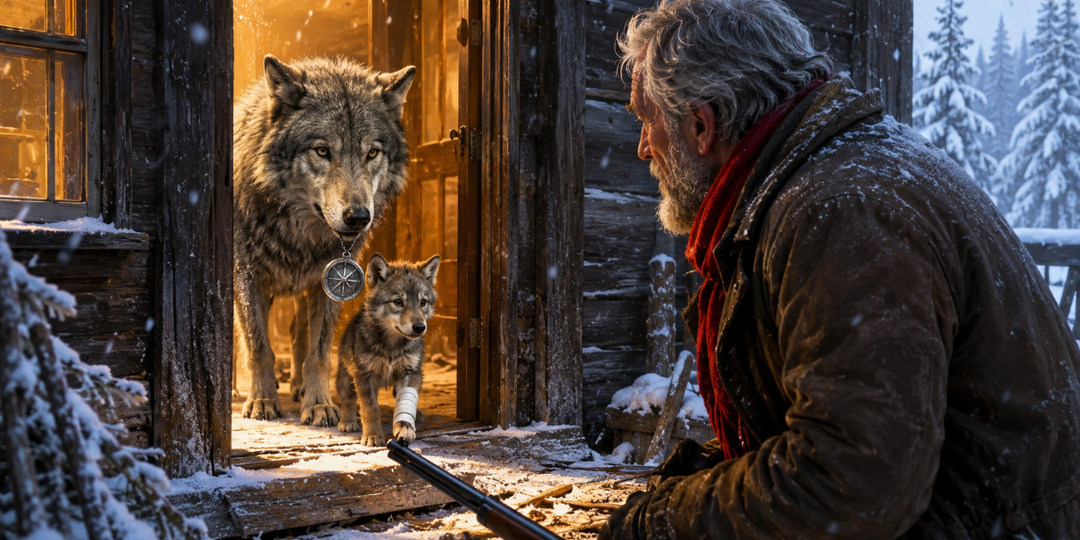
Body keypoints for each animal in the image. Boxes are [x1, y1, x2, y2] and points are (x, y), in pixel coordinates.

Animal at [233, 54, 415, 426]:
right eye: (322, 150)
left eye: (372, 153)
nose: (358, 217)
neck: (296, 231)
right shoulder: (247, 276)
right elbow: (258, 344)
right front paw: (262, 400)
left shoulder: (327, 283)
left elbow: (318, 352)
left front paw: (317, 403)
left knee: (297, 332)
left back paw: (299, 388)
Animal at [335, 254, 440, 446]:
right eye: (398, 302)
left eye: (423, 302)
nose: (420, 327)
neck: (392, 346)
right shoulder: (364, 375)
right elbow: (371, 409)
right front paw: (373, 435)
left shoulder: (411, 372)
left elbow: (404, 405)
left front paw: (405, 427)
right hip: (346, 380)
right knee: (348, 400)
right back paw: (348, 421)